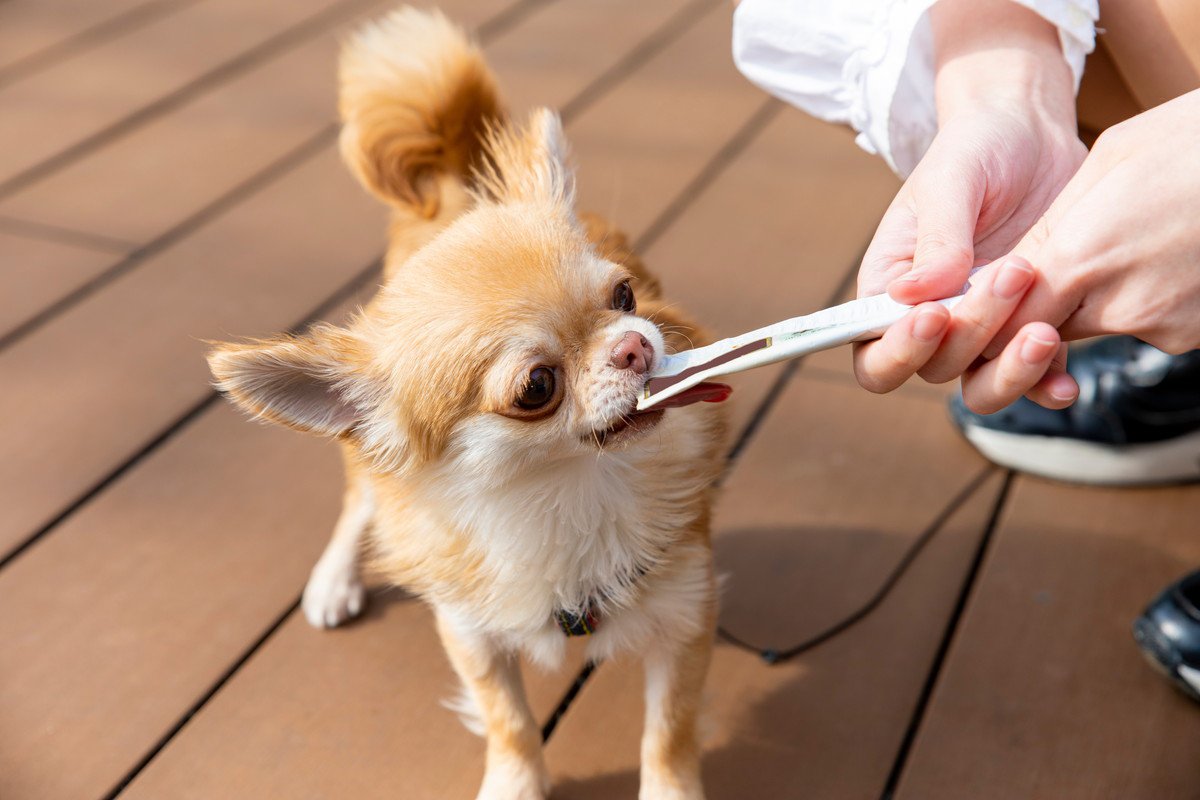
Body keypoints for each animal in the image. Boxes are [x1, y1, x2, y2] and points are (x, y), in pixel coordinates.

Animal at [210, 7, 724, 800]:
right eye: (536, 388)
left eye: (625, 296)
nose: (637, 346)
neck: (561, 496)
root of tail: (454, 191)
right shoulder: (472, 633)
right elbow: (509, 721)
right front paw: (515, 785)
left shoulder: (684, 616)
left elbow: (668, 732)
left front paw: (669, 792)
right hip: (369, 468)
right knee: (359, 504)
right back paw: (332, 580)